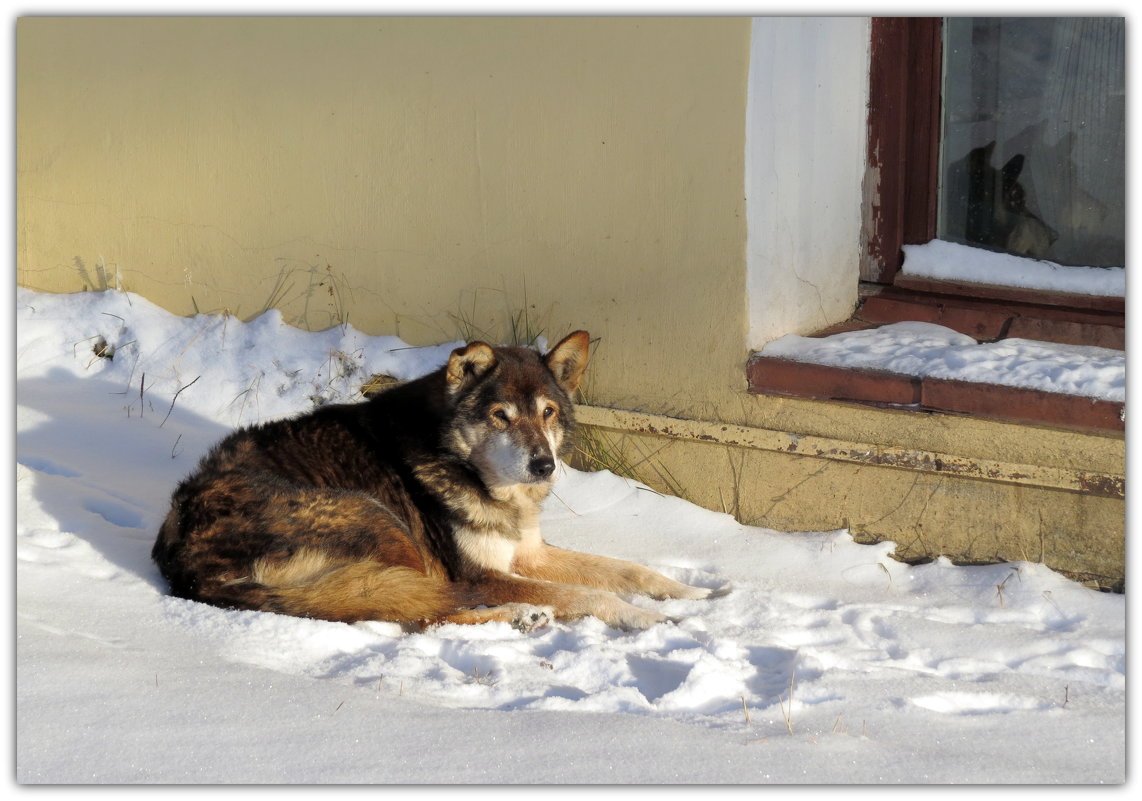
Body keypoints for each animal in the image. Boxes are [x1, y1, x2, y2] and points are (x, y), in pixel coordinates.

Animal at [151, 329, 726, 626]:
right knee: (426, 612)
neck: (464, 467)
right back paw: (521, 615)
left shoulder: (529, 553)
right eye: (500, 416)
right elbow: (590, 596)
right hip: (383, 523)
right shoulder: (480, 573)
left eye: (547, 413)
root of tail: (187, 563)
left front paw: (693, 594)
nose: (544, 465)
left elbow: (629, 570)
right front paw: (650, 621)